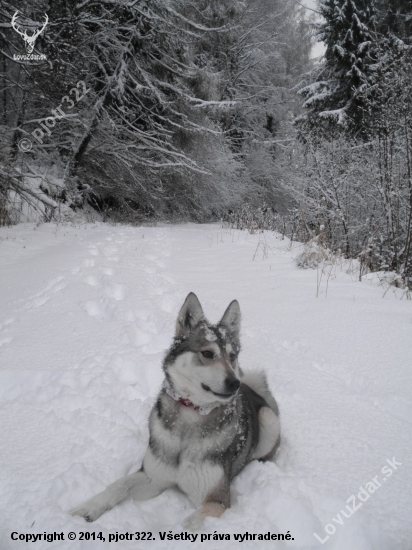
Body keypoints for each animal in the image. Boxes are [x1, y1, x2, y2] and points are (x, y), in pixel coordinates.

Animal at [72, 294, 282, 532]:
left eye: (232, 355)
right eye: (207, 353)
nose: (234, 383)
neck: (191, 414)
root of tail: (252, 390)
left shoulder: (215, 500)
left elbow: (185, 526)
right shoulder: (152, 478)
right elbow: (118, 485)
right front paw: (88, 507)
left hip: (268, 418)